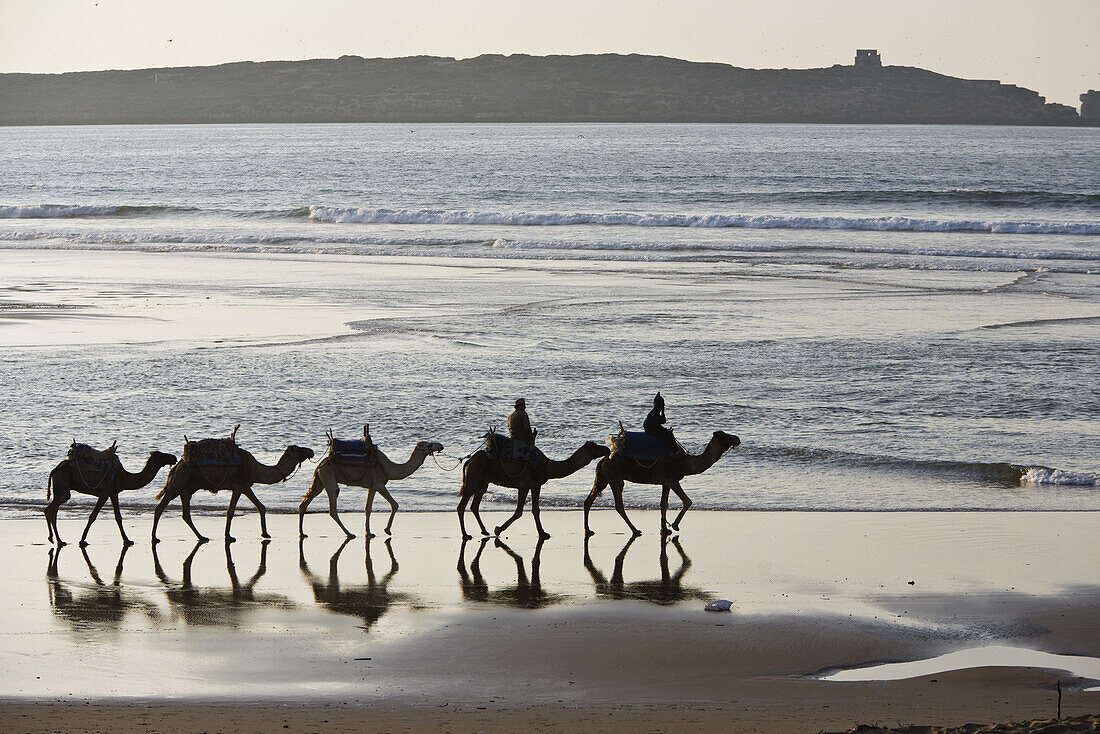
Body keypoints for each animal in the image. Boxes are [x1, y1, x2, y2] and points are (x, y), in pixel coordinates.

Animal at [44, 444, 178, 548]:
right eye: (161, 455)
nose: (174, 457)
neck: (124, 477)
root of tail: (55, 469)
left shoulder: (114, 493)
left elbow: (118, 517)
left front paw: (127, 540)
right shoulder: (105, 492)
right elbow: (93, 516)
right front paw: (82, 540)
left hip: (60, 488)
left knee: (52, 510)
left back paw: (57, 540)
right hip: (63, 487)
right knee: (51, 510)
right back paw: (56, 540)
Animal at [150, 442, 314, 545]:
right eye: (298, 449)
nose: (311, 451)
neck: (254, 468)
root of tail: (175, 468)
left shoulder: (245, 485)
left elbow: (261, 507)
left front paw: (265, 534)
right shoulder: (239, 486)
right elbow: (230, 511)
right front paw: (229, 536)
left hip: (186, 489)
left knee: (183, 514)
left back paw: (201, 537)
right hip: (178, 485)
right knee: (162, 509)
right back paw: (155, 538)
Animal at [299, 435, 444, 539]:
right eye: (428, 444)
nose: (440, 445)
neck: (389, 468)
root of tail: (319, 466)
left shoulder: (372, 487)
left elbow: (368, 509)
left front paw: (369, 533)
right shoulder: (380, 484)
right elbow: (395, 504)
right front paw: (387, 530)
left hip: (319, 481)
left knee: (304, 503)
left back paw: (302, 533)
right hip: (328, 478)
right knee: (333, 507)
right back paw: (349, 534)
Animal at [455, 442, 611, 539]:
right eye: (594, 446)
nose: (607, 449)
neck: (549, 467)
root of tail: (469, 461)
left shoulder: (524, 486)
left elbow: (519, 511)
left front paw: (497, 529)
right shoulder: (535, 484)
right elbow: (535, 509)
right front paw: (543, 533)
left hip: (483, 481)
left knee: (474, 505)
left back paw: (484, 531)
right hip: (474, 477)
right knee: (462, 506)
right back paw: (466, 534)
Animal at [580, 431, 743, 539]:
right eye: (726, 436)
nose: (738, 439)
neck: (687, 464)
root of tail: (603, 460)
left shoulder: (665, 483)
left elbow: (663, 504)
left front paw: (665, 529)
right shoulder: (672, 480)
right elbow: (687, 501)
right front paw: (674, 525)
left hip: (603, 477)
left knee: (589, 500)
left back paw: (588, 530)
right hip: (615, 477)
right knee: (619, 505)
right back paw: (635, 530)